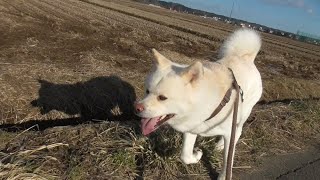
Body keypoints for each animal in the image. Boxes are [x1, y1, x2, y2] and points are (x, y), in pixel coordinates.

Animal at [135, 28, 262, 179]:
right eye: (147, 91)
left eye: (162, 98)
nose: (136, 108)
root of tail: (246, 58)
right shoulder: (192, 128)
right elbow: (185, 155)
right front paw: (197, 155)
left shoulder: (227, 131)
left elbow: (228, 160)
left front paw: (223, 174)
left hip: (243, 114)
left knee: (238, 131)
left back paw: (222, 144)